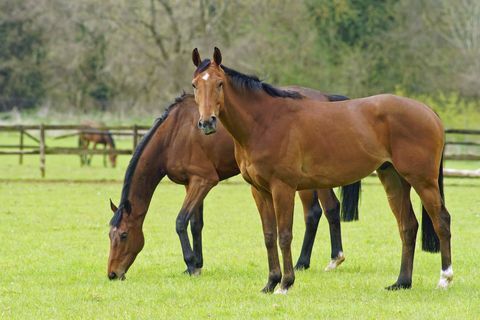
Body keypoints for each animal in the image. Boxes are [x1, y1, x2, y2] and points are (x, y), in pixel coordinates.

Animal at [106, 92, 360, 280]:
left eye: (124, 235)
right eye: (110, 235)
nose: (112, 274)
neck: (175, 134)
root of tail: (325, 98)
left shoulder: (203, 181)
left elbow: (180, 222)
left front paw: (191, 264)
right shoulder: (192, 184)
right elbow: (195, 224)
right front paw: (196, 263)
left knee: (323, 210)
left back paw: (321, 259)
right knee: (320, 212)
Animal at [193, 46, 452, 294]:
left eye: (219, 83)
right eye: (195, 84)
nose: (207, 122)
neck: (265, 122)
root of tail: (428, 111)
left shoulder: (283, 188)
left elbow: (284, 235)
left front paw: (285, 284)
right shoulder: (259, 191)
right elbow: (269, 236)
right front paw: (270, 283)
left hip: (423, 181)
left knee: (442, 221)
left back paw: (444, 279)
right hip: (394, 179)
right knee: (408, 226)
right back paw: (401, 282)